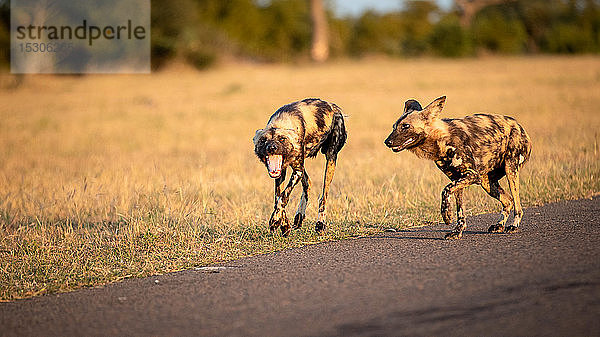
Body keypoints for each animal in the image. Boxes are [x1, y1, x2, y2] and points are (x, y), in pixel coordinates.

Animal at [253, 97, 346, 235]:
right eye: (263, 140)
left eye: (282, 139)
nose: (271, 148)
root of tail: (334, 106)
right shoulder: (282, 172)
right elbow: (278, 197)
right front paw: (284, 224)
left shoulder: (297, 171)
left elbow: (283, 197)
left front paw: (275, 220)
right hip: (300, 167)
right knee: (308, 183)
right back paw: (299, 216)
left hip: (330, 159)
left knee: (324, 196)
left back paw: (320, 224)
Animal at [384, 96, 528, 239]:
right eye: (394, 127)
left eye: (406, 126)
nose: (387, 142)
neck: (440, 140)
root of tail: (519, 126)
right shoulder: (457, 179)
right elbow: (460, 211)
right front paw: (457, 231)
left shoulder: (471, 175)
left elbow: (445, 190)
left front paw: (446, 216)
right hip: (487, 183)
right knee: (508, 201)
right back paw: (499, 225)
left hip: (510, 170)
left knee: (517, 205)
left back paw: (513, 226)